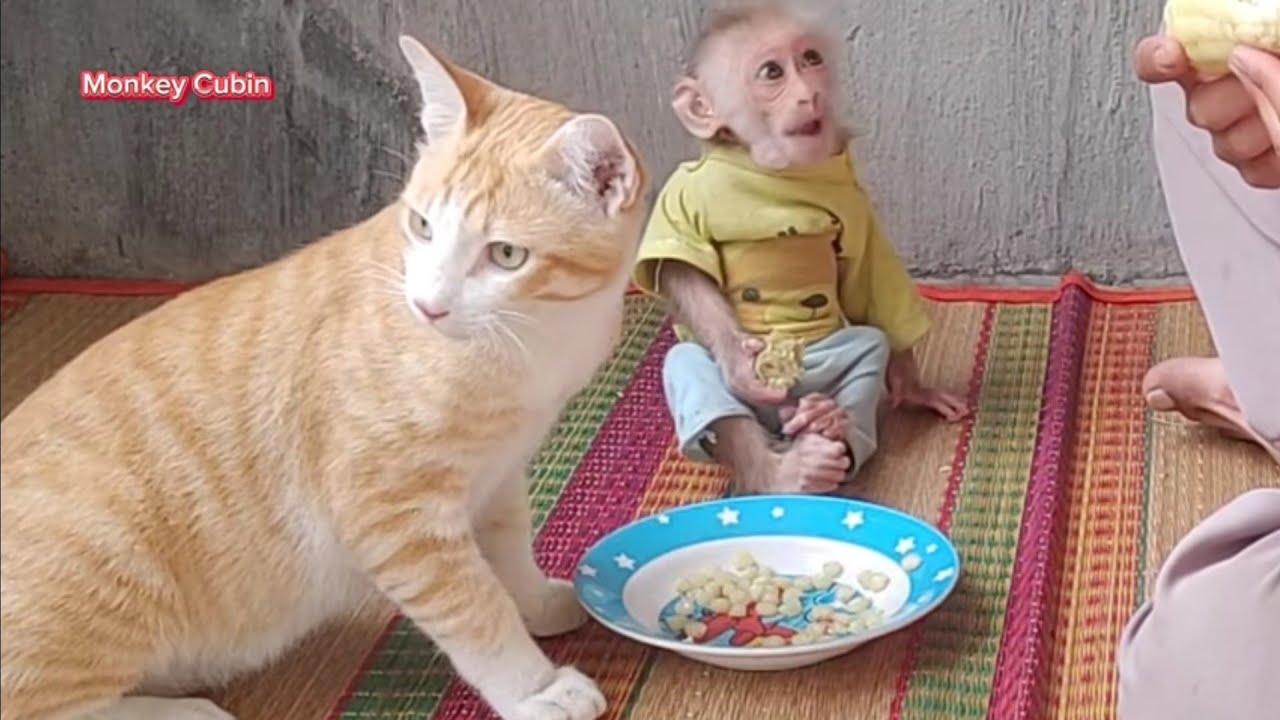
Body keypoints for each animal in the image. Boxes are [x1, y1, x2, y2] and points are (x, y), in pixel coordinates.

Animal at [631, 0, 969, 496]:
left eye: (811, 59)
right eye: (772, 72)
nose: (811, 93)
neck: (770, 169)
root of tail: (781, 418)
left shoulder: (857, 211)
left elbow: (872, 293)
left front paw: (913, 387)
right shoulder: (684, 192)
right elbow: (684, 272)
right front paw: (742, 360)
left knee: (868, 348)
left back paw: (828, 426)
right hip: (731, 396)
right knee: (690, 365)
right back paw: (781, 472)